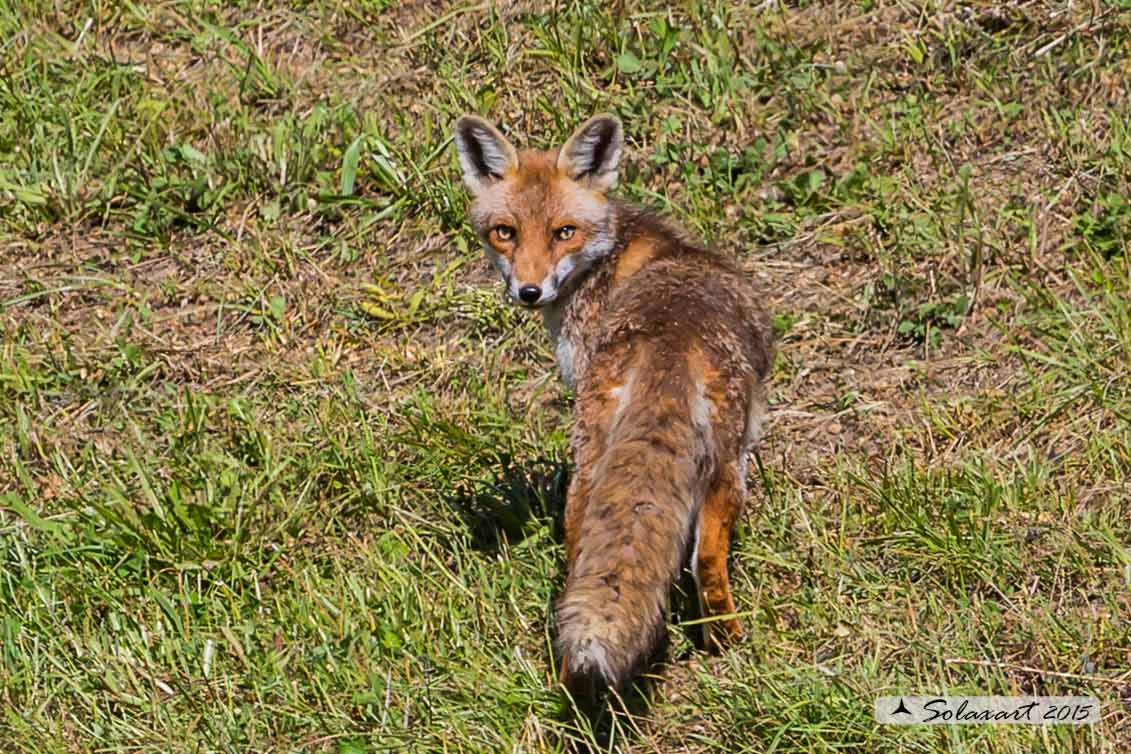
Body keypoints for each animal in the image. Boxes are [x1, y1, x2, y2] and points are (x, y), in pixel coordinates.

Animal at [454, 113, 773, 700]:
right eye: (506, 231)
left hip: (604, 466)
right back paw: (724, 648)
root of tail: (672, 336)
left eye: (564, 232)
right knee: (704, 560)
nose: (529, 291)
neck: (609, 260)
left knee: (590, 558)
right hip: (723, 465)